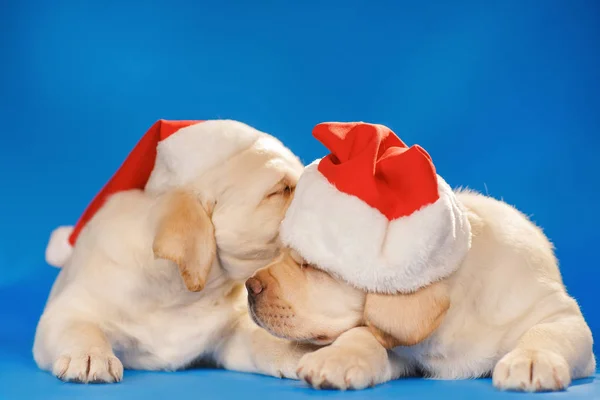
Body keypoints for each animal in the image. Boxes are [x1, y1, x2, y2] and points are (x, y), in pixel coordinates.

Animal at [34, 119, 314, 384]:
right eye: (281, 190)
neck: (180, 295)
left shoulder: (232, 332)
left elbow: (262, 339)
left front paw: (301, 353)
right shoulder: (71, 308)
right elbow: (79, 327)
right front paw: (90, 355)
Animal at [245, 121, 596, 390]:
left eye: (311, 266)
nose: (249, 287)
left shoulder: (561, 314)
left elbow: (547, 331)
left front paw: (532, 359)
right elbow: (363, 333)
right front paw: (337, 357)